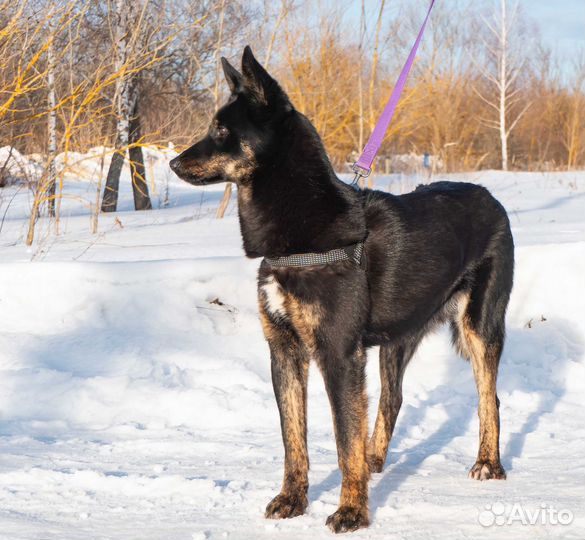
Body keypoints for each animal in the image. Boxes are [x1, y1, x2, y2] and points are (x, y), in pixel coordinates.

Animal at [169, 45, 512, 532]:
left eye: (221, 129)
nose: (174, 163)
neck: (301, 236)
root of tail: (490, 197)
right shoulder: (285, 352)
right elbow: (294, 438)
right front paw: (292, 500)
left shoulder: (337, 354)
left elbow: (342, 438)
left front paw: (351, 510)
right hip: (397, 337)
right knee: (392, 399)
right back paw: (375, 461)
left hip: (479, 327)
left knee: (489, 397)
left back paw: (488, 464)